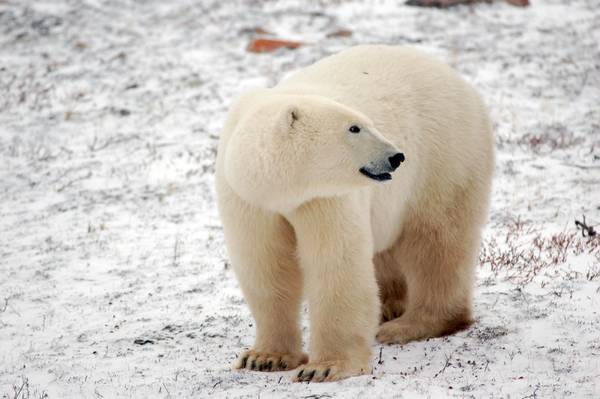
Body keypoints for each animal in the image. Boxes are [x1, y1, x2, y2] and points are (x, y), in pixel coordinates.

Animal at [216, 45, 492, 382]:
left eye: (364, 122)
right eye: (354, 127)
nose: (397, 156)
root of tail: (460, 80)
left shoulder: (324, 197)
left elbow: (336, 264)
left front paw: (324, 367)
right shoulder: (247, 201)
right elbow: (265, 266)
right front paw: (264, 358)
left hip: (444, 155)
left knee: (436, 241)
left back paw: (410, 325)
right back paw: (389, 308)